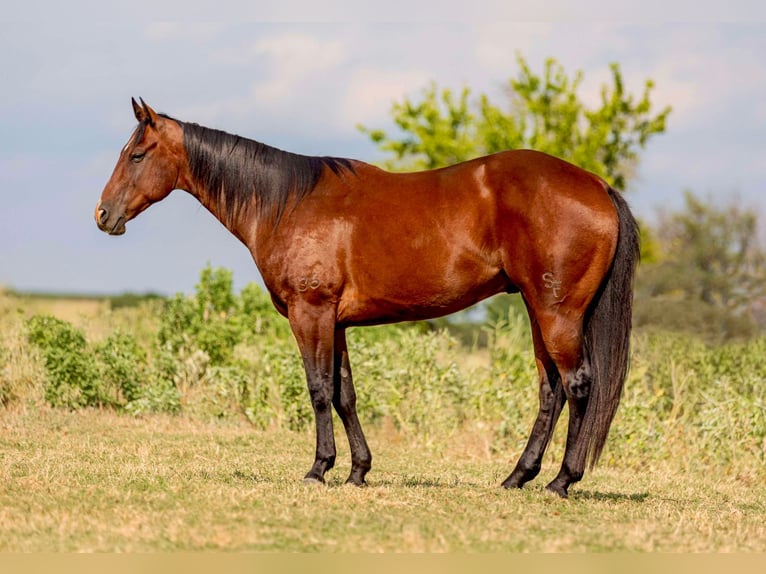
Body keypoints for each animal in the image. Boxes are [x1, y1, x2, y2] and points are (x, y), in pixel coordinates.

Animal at [95, 98, 639, 498]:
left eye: (137, 155)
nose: (103, 215)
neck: (289, 203)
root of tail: (597, 185)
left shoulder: (309, 313)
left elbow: (318, 390)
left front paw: (319, 469)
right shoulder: (335, 322)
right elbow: (344, 394)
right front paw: (358, 470)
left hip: (556, 313)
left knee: (578, 386)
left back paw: (561, 481)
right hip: (538, 310)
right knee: (551, 391)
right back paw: (516, 477)